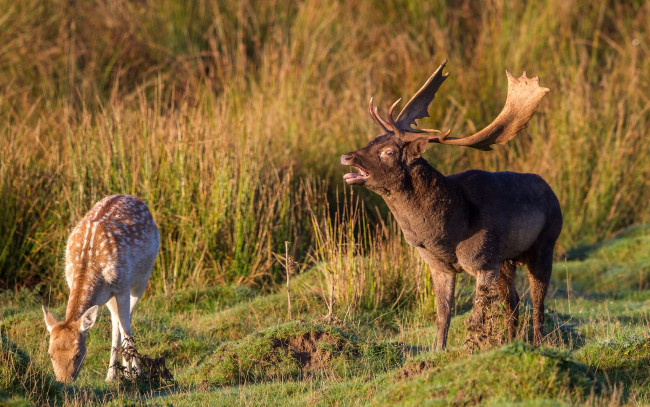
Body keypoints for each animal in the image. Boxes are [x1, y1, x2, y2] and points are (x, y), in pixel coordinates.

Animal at [41, 196, 159, 384]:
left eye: (78, 354)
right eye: (50, 354)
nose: (64, 383)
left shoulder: (122, 286)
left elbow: (126, 329)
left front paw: (136, 374)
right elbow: (119, 324)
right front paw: (118, 373)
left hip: (143, 278)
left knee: (125, 320)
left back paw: (128, 372)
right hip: (109, 297)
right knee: (116, 320)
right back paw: (112, 374)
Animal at [340, 59, 560, 350]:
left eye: (387, 152)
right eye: (371, 140)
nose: (347, 156)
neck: (448, 233)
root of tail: (552, 191)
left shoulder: (483, 261)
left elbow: (476, 318)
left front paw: (471, 348)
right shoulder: (439, 266)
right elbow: (443, 315)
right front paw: (439, 350)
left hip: (545, 244)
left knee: (537, 303)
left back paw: (537, 343)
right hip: (506, 260)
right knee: (513, 302)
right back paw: (512, 342)